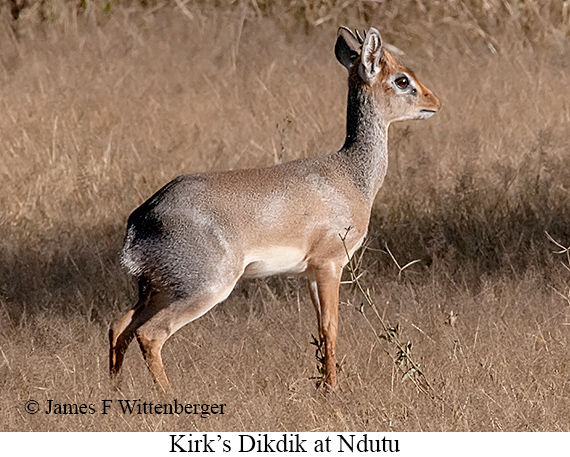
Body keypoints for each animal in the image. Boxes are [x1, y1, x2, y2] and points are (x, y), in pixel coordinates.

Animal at [110, 26, 440, 390]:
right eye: (401, 80)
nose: (434, 102)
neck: (352, 176)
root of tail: (141, 219)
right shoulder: (330, 263)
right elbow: (331, 327)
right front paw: (332, 389)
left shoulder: (310, 272)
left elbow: (320, 329)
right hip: (204, 287)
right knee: (149, 334)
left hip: (157, 289)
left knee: (119, 327)